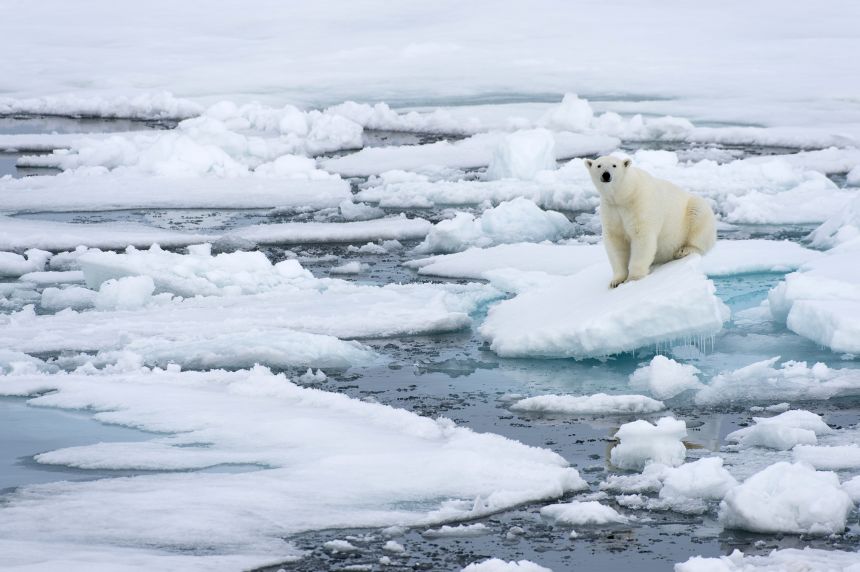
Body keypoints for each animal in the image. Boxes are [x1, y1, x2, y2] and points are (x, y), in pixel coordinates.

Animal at [585, 155, 716, 288]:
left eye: (614, 165)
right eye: (599, 165)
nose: (606, 175)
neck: (624, 194)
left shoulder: (639, 204)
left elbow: (641, 238)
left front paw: (633, 278)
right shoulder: (611, 210)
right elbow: (616, 242)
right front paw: (616, 281)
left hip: (692, 211)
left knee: (699, 221)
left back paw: (683, 250)